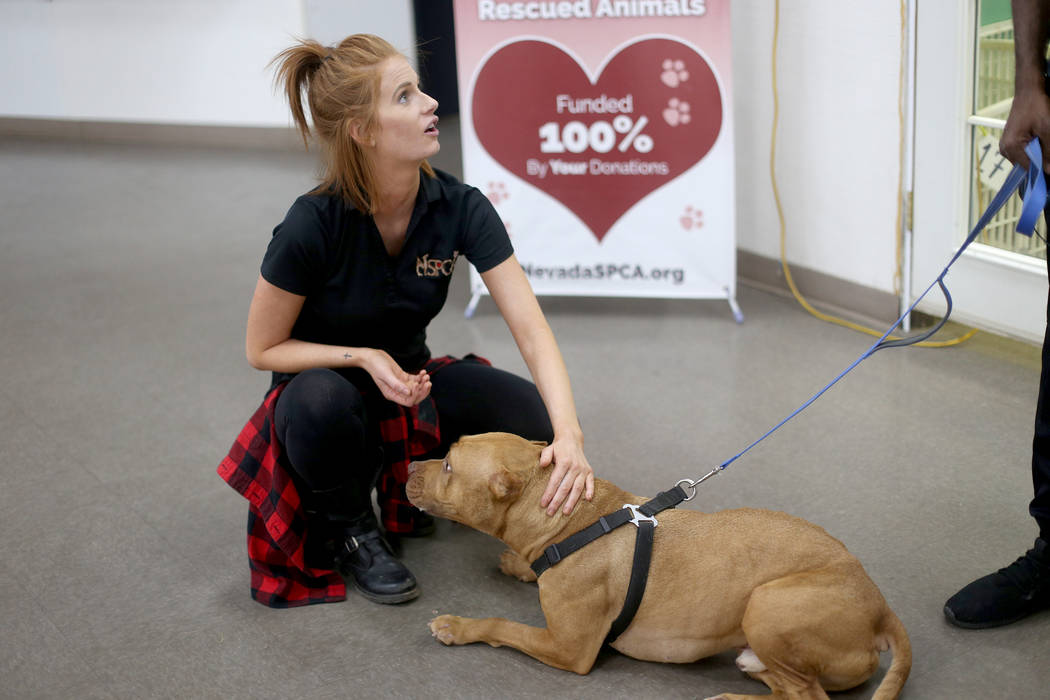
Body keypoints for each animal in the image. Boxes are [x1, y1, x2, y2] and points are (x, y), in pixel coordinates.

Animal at [405, 432, 915, 700]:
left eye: (448, 465)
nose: (409, 465)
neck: (572, 520)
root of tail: (882, 608)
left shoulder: (569, 649)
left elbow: (500, 625)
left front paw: (457, 626)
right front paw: (517, 564)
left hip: (769, 603)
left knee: (810, 698)